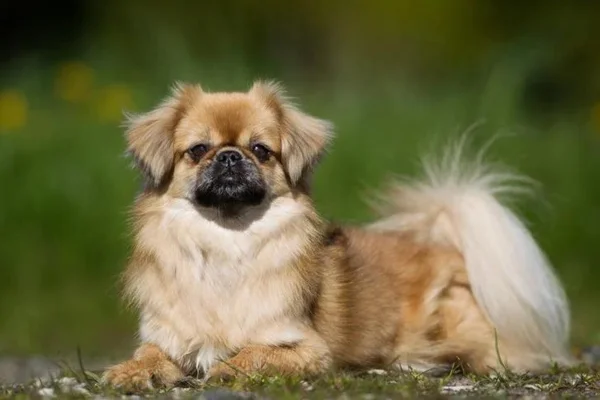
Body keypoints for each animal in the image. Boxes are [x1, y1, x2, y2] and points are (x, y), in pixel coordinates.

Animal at [102, 81, 572, 390]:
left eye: (260, 150)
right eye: (198, 150)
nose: (230, 157)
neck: (226, 242)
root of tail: (447, 248)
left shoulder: (306, 348)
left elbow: (256, 352)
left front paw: (229, 367)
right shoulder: (166, 336)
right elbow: (148, 355)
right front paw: (128, 371)